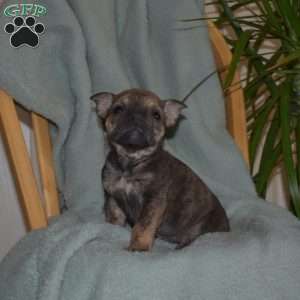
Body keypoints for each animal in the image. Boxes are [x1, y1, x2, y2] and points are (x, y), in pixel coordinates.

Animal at [91, 88, 230, 251]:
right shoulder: (113, 197)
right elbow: (114, 217)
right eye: (118, 110)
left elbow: (143, 226)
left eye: (156, 115)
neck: (132, 161)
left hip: (202, 227)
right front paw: (111, 231)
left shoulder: (153, 201)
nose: (136, 116)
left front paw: (138, 246)